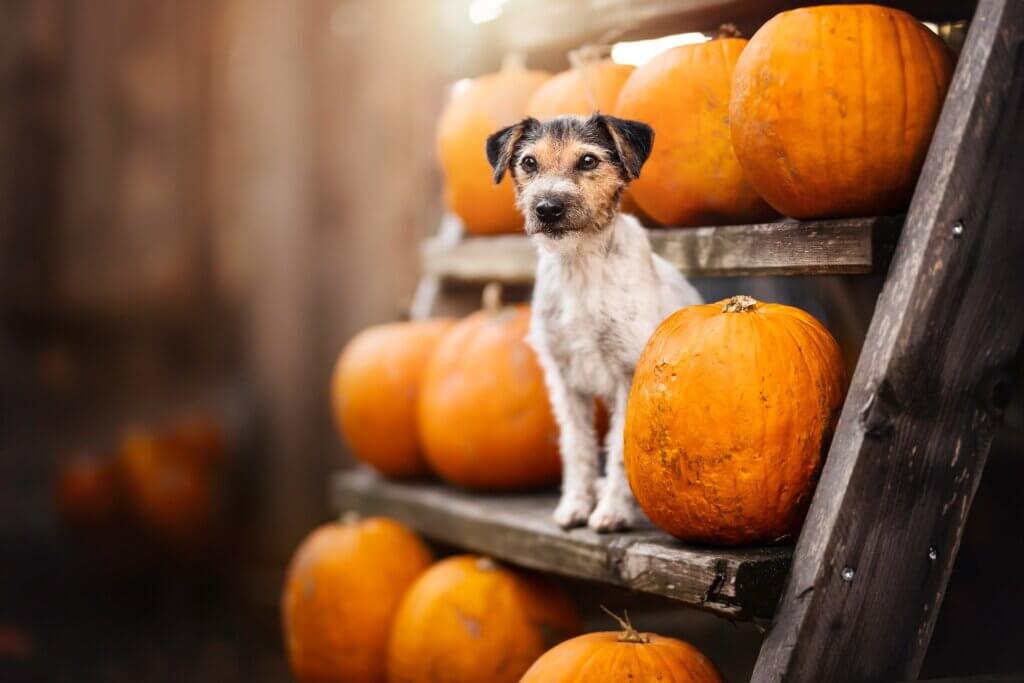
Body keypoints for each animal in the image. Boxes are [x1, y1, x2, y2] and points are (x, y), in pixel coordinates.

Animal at [487, 114, 704, 532]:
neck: (580, 264)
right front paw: (575, 504)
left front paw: (612, 512)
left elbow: (619, 450)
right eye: (528, 163)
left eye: (588, 160)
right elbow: (577, 447)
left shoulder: (627, 372)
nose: (547, 208)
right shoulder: (564, 378)